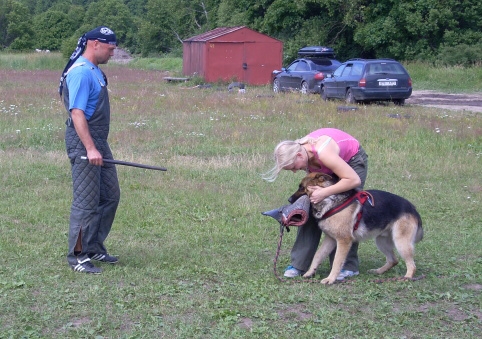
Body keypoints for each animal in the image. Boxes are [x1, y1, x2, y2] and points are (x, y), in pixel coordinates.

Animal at [292, 173, 424, 284]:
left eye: (301, 187)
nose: (289, 200)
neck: (329, 198)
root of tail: (413, 209)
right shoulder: (330, 239)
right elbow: (318, 255)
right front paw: (310, 272)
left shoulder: (343, 241)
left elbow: (337, 261)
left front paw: (331, 279)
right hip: (381, 241)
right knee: (393, 260)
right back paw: (378, 271)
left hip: (401, 243)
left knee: (412, 266)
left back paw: (407, 278)